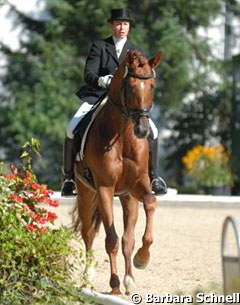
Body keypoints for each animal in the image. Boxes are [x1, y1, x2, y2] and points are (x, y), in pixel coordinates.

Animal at [74, 50, 162, 294]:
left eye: (152, 86)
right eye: (130, 87)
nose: (142, 130)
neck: (122, 135)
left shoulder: (138, 185)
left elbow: (150, 203)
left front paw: (142, 259)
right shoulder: (104, 188)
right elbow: (110, 239)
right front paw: (114, 286)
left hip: (127, 197)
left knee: (127, 239)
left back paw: (129, 277)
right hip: (86, 192)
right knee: (88, 232)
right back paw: (87, 276)